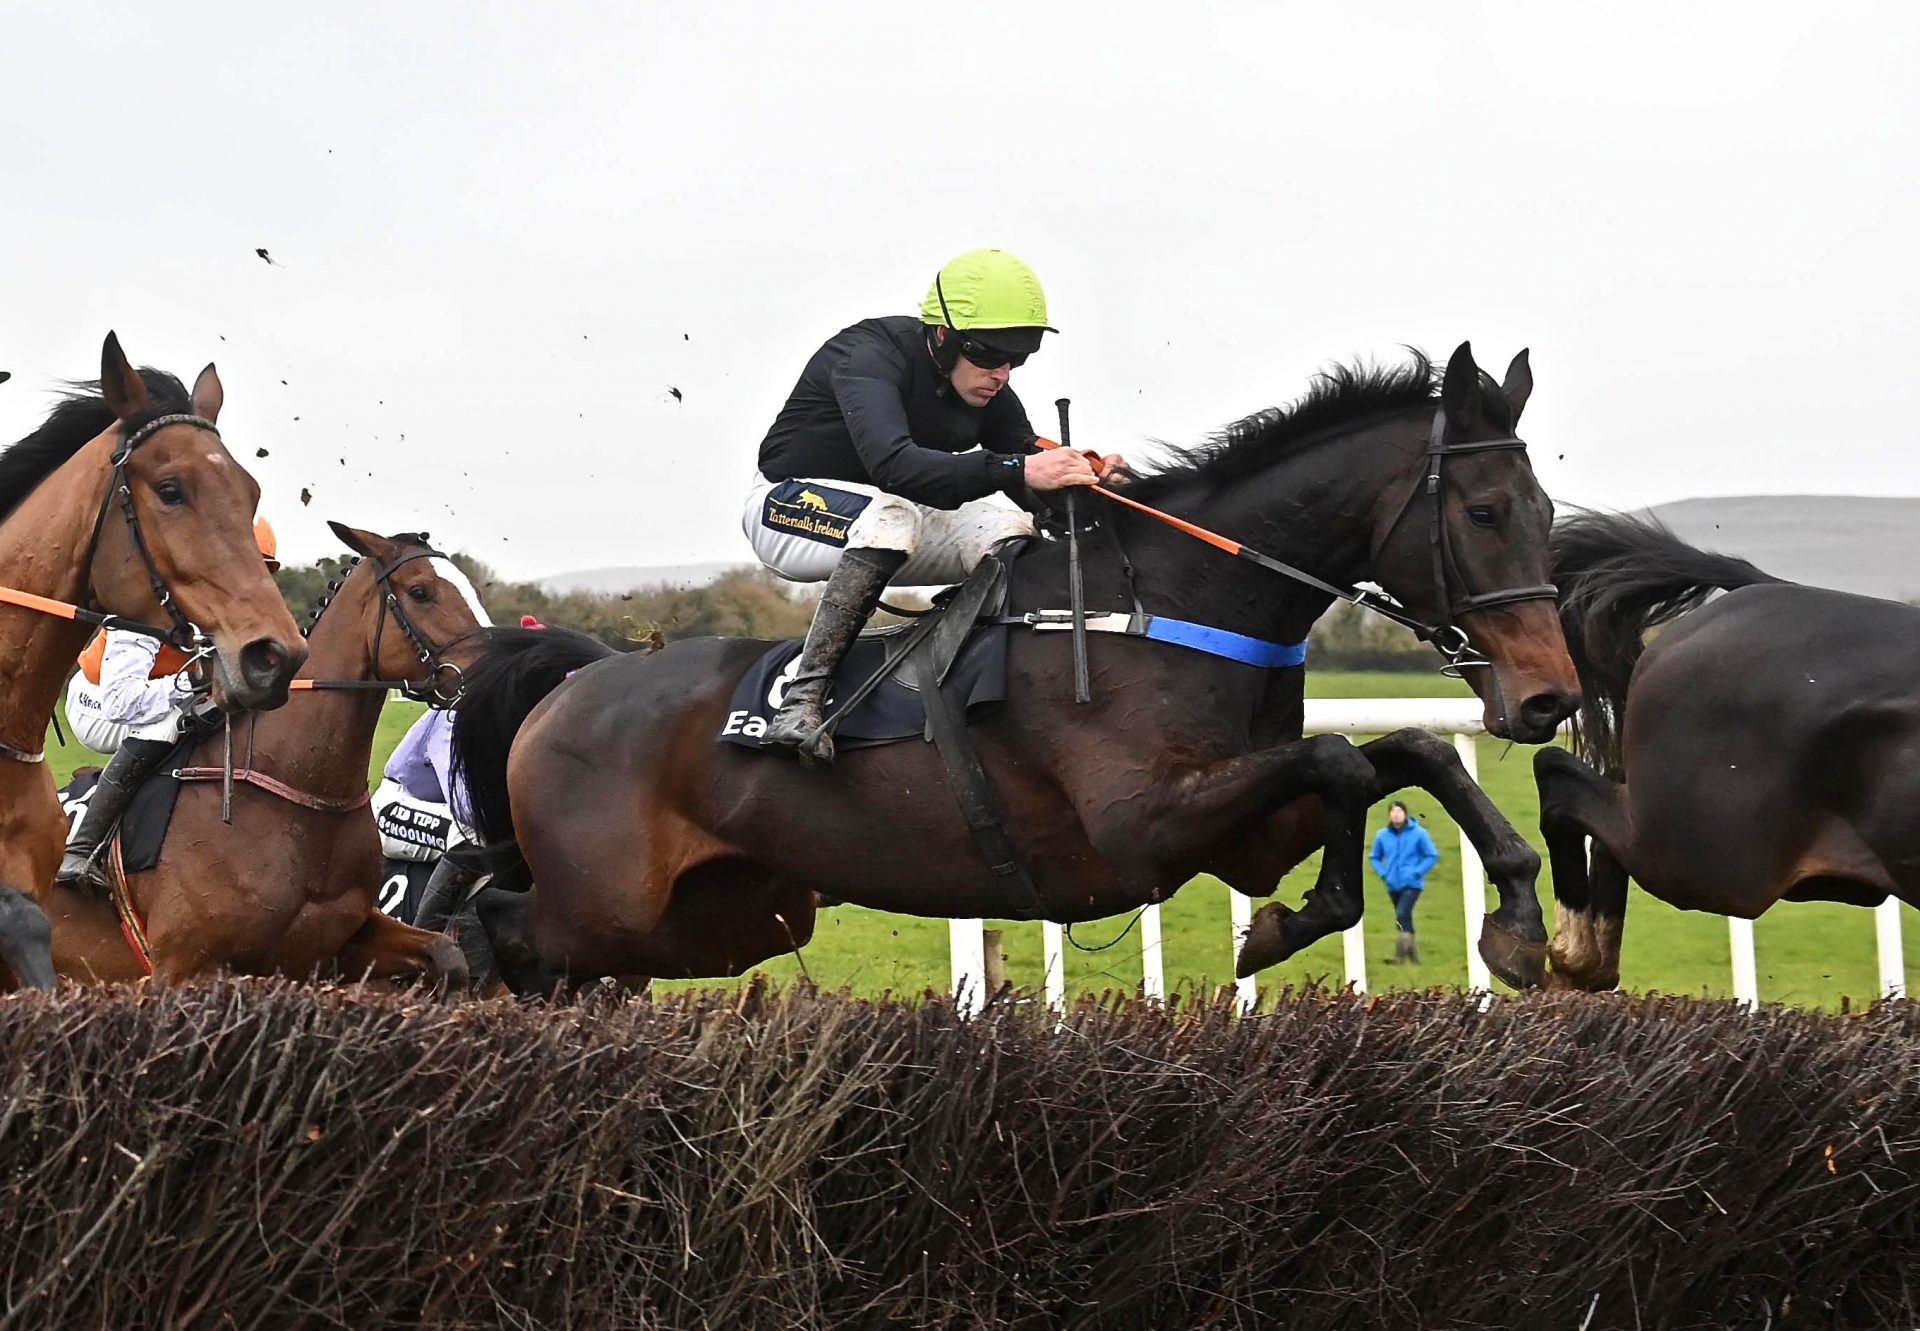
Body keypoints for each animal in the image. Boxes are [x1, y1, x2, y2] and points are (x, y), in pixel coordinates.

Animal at [453, 341, 1589, 983]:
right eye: (1485, 513)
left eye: (1547, 513)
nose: (1549, 698)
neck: (1179, 599)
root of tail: (573, 680)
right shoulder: (1140, 826)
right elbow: (1345, 759)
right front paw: (1295, 923)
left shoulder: (1243, 835)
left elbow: (1401, 753)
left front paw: (1519, 917)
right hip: (608, 905)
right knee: (498, 925)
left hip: (731, 919)